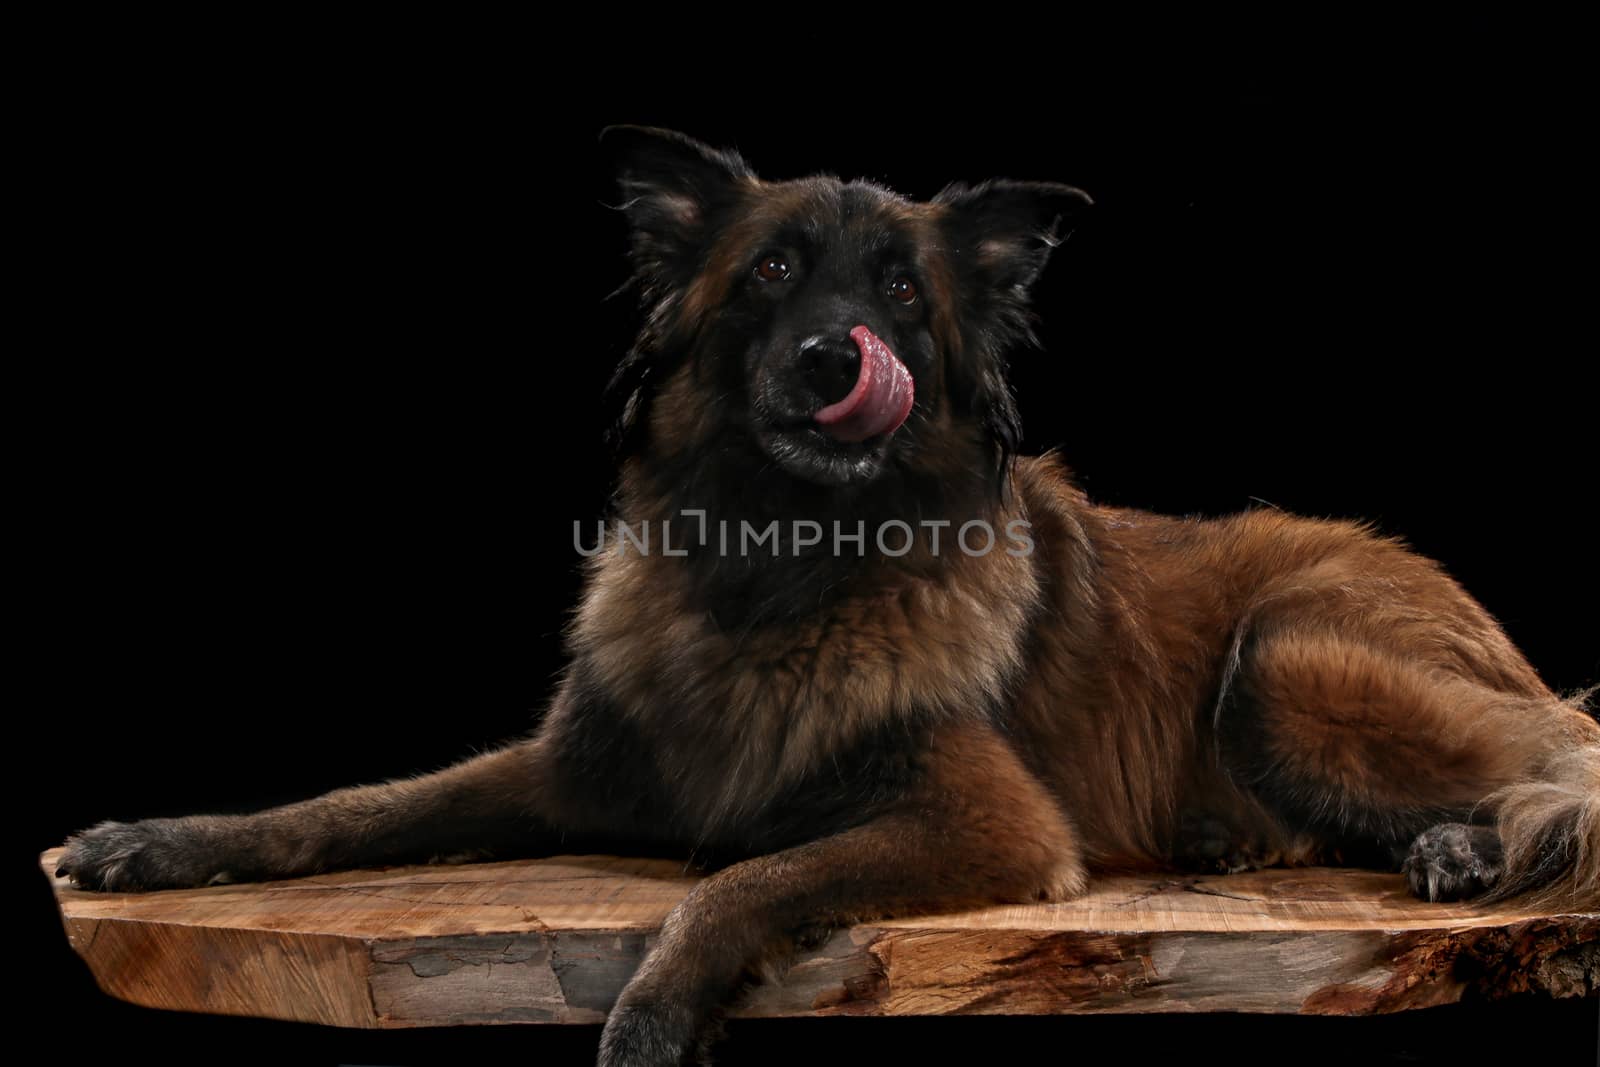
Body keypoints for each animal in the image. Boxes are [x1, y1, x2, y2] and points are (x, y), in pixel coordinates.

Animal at [59, 127, 1600, 1067]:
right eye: (774, 271)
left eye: (908, 295)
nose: (835, 354)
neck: (781, 568)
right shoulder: (571, 769)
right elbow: (345, 805)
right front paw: (155, 840)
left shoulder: (989, 822)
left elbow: (749, 870)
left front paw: (656, 1002)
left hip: (1282, 663)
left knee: (1550, 768)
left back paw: (1448, 845)